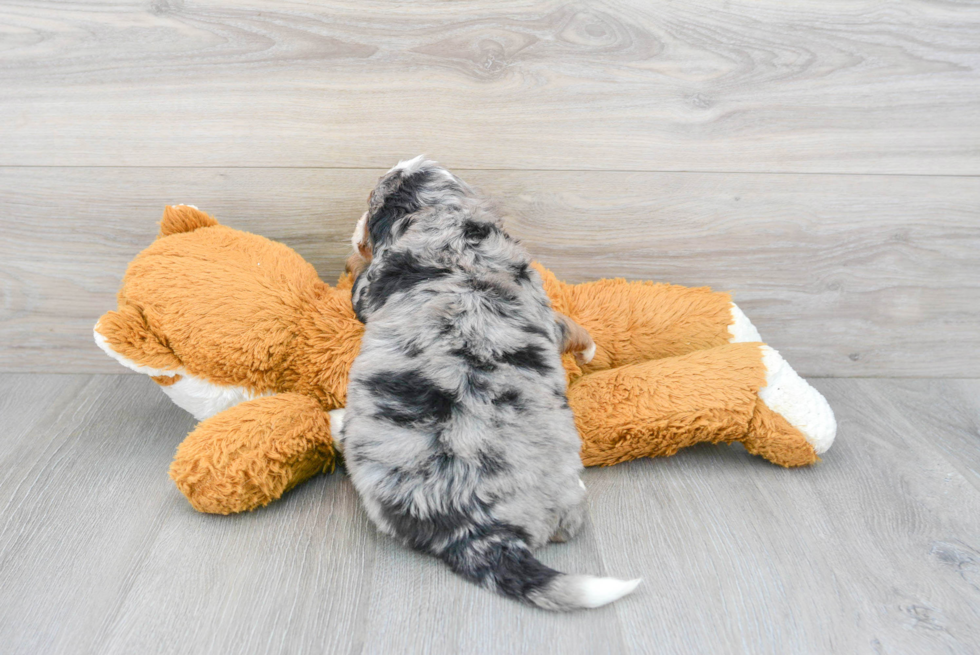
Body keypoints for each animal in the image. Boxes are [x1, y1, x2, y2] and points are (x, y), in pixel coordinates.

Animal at [334, 156, 644, 612]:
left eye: (373, 199)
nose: (355, 235)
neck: (454, 230)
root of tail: (477, 524)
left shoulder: (371, 290)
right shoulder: (544, 308)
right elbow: (569, 325)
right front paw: (589, 350)